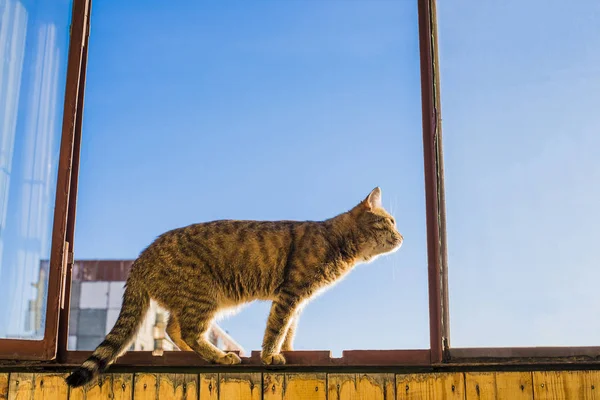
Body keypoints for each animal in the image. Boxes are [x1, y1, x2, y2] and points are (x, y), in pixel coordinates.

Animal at [65, 188, 404, 388]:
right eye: (389, 222)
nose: (402, 237)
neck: (337, 241)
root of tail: (140, 258)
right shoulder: (290, 294)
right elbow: (276, 328)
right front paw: (270, 356)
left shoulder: (298, 300)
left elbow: (289, 330)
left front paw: (289, 351)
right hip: (204, 296)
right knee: (189, 331)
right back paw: (219, 356)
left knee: (176, 329)